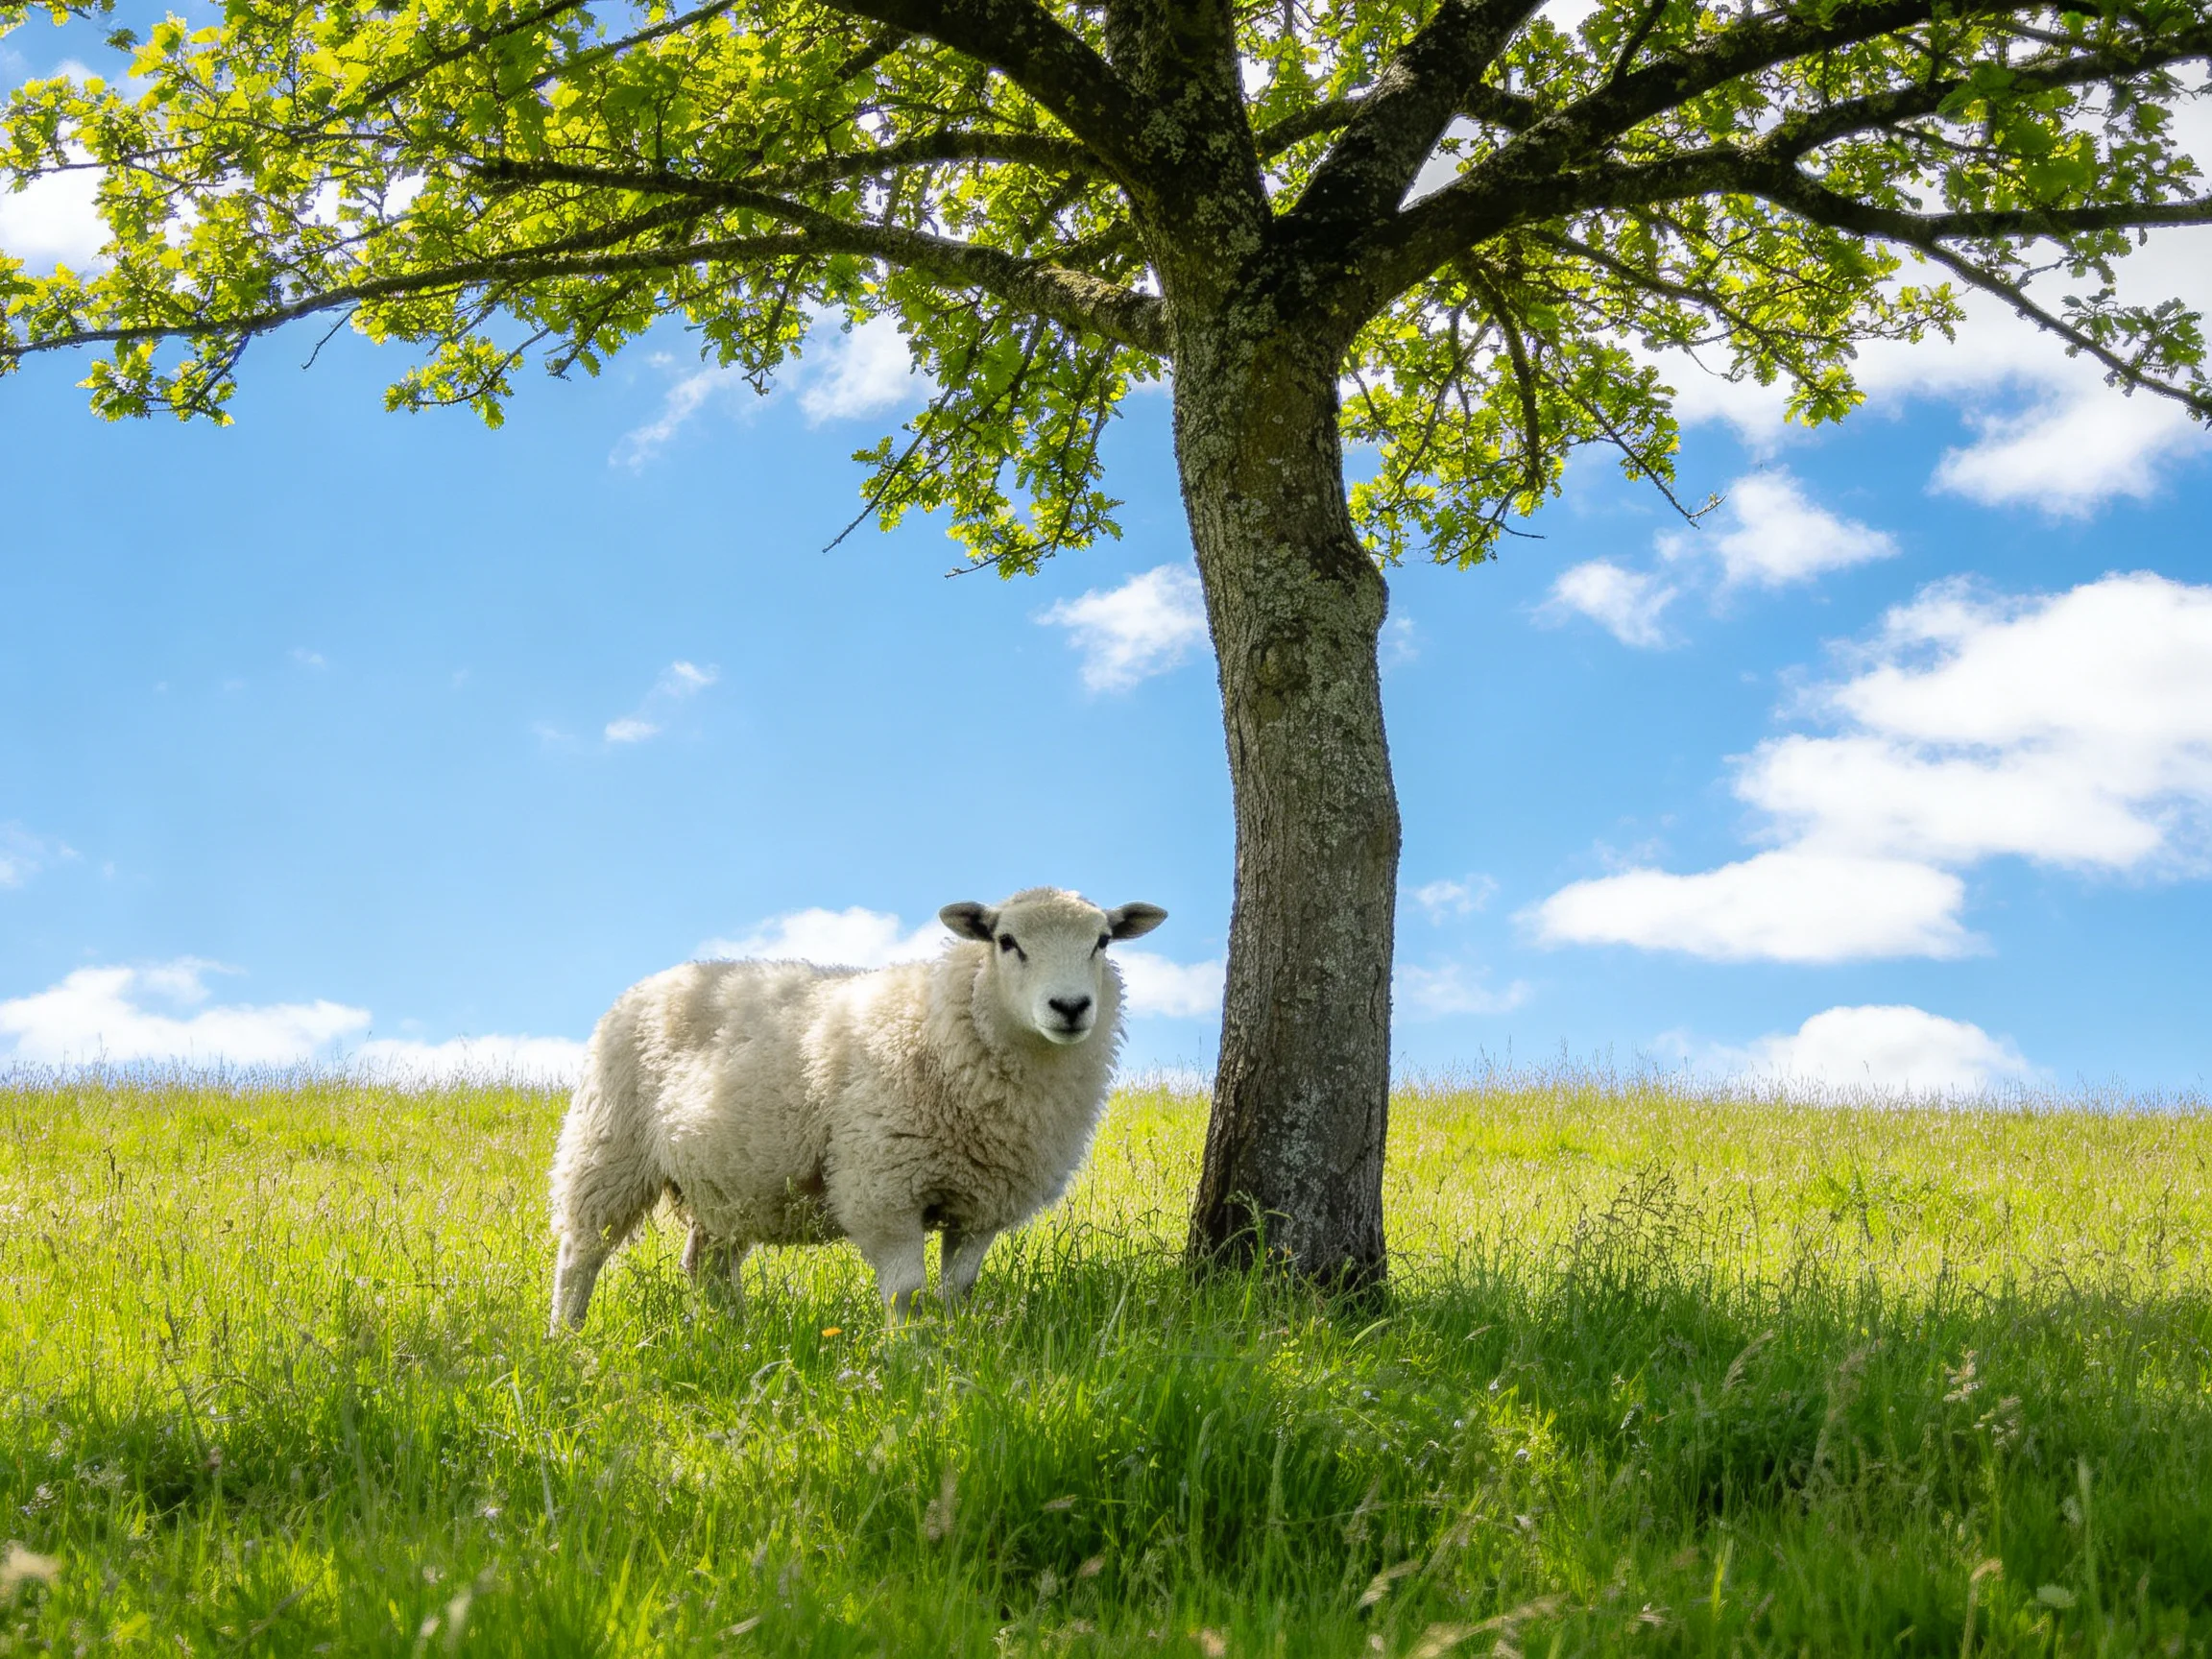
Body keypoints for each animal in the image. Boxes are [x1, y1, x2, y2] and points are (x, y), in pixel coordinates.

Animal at [546, 888, 1167, 1332]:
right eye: (1006, 940)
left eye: (1103, 941)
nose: (1070, 1006)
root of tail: (658, 979)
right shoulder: (882, 1188)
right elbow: (909, 1297)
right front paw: (911, 1369)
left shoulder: (982, 1206)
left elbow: (957, 1294)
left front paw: (957, 1355)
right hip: (609, 1146)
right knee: (581, 1252)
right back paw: (566, 1340)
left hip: (731, 1181)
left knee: (708, 1267)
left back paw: (733, 1338)